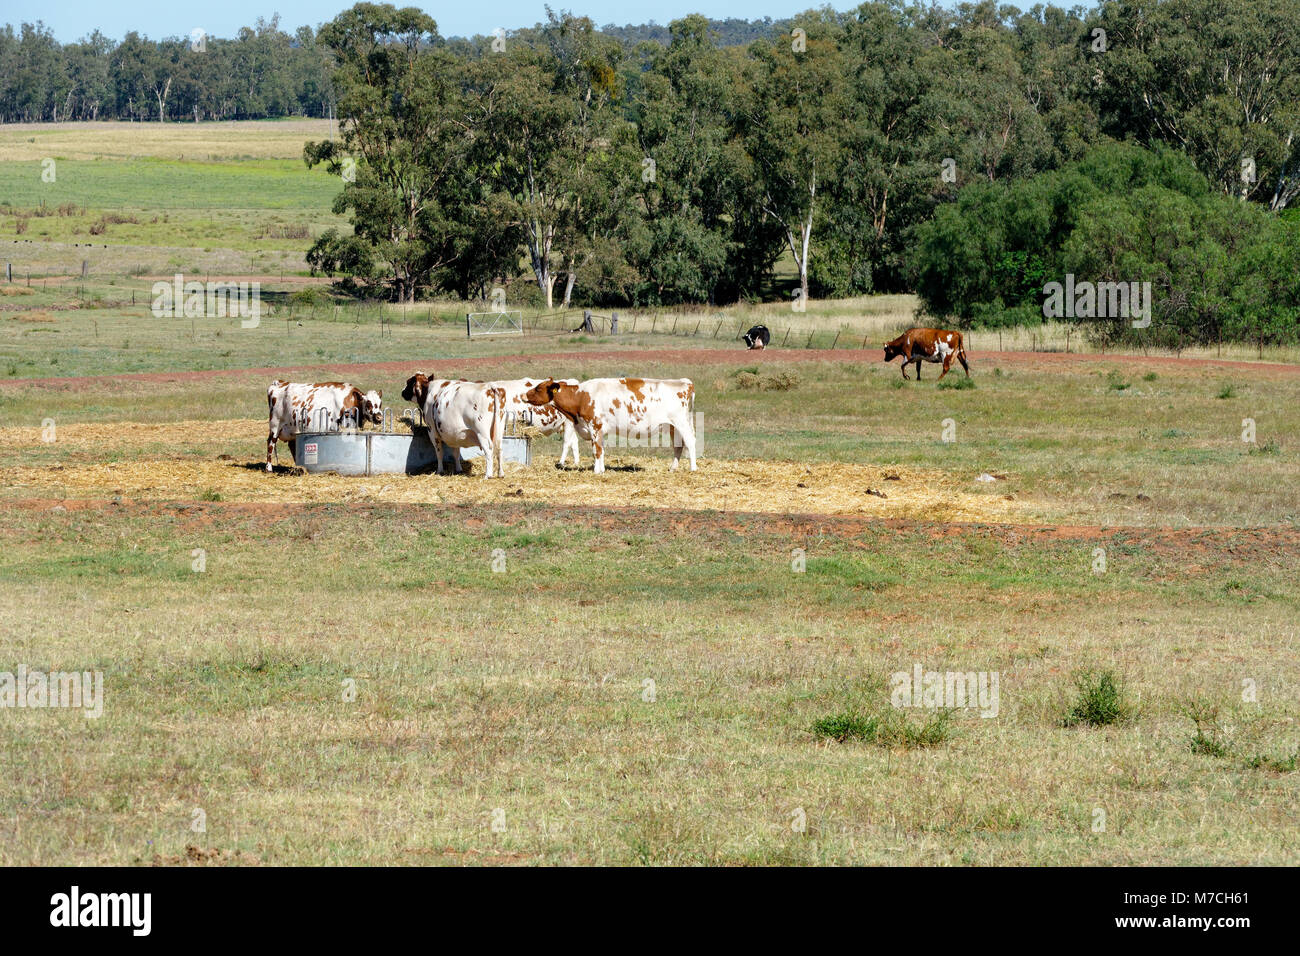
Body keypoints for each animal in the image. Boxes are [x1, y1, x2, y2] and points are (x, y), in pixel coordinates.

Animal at [522, 377, 696, 476]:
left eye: (538, 388)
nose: (523, 395)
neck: (581, 396)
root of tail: (685, 383)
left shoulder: (595, 425)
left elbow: (596, 451)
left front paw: (596, 471)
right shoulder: (599, 429)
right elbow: (601, 450)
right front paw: (602, 469)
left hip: (681, 423)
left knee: (690, 442)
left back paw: (693, 468)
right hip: (673, 427)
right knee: (678, 446)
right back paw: (673, 468)